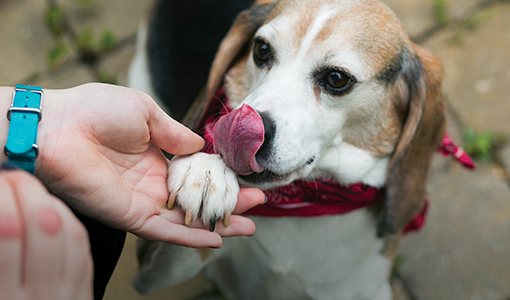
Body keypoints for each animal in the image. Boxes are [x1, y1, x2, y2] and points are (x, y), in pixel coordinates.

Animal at [130, 1, 446, 298]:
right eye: (261, 49)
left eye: (337, 78)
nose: (241, 128)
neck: (306, 201)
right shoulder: (150, 275)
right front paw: (208, 169)